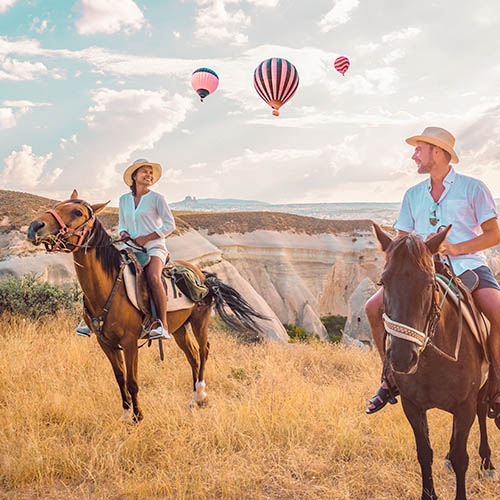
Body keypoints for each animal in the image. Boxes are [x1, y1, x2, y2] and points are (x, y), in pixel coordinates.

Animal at [27, 191, 268, 422]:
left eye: (77, 212)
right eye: (57, 205)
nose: (34, 227)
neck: (107, 287)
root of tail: (202, 274)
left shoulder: (130, 342)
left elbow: (132, 381)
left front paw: (138, 416)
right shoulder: (105, 343)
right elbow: (120, 378)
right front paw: (126, 414)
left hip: (200, 320)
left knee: (204, 350)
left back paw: (201, 395)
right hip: (179, 329)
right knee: (192, 355)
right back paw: (193, 401)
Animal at [376, 224, 496, 500]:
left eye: (429, 282)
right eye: (383, 281)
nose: (401, 357)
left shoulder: (465, 405)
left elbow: (462, 458)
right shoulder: (412, 406)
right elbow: (424, 453)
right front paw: (428, 494)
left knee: (483, 412)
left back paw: (487, 462)